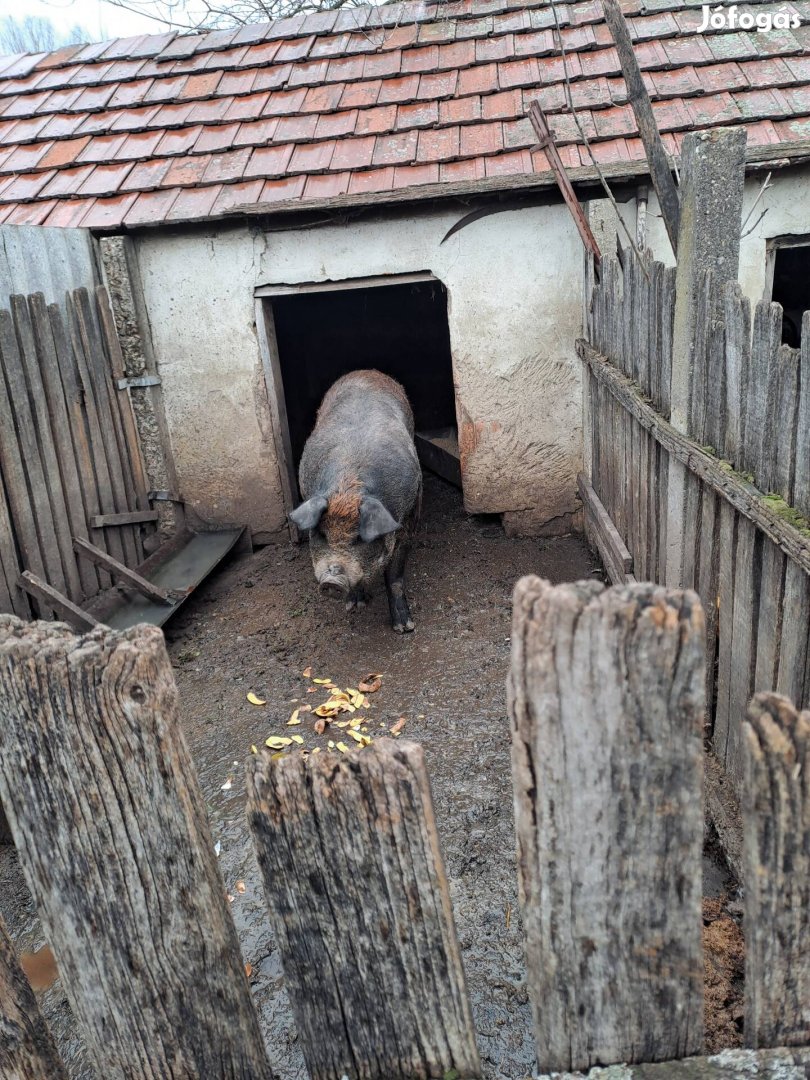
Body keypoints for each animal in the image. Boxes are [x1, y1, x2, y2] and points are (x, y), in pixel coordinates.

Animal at [289, 371, 421, 630]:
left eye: (359, 538)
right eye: (321, 534)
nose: (331, 580)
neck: (348, 490)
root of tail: (367, 371)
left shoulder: (407, 518)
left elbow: (395, 576)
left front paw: (404, 627)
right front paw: (355, 606)